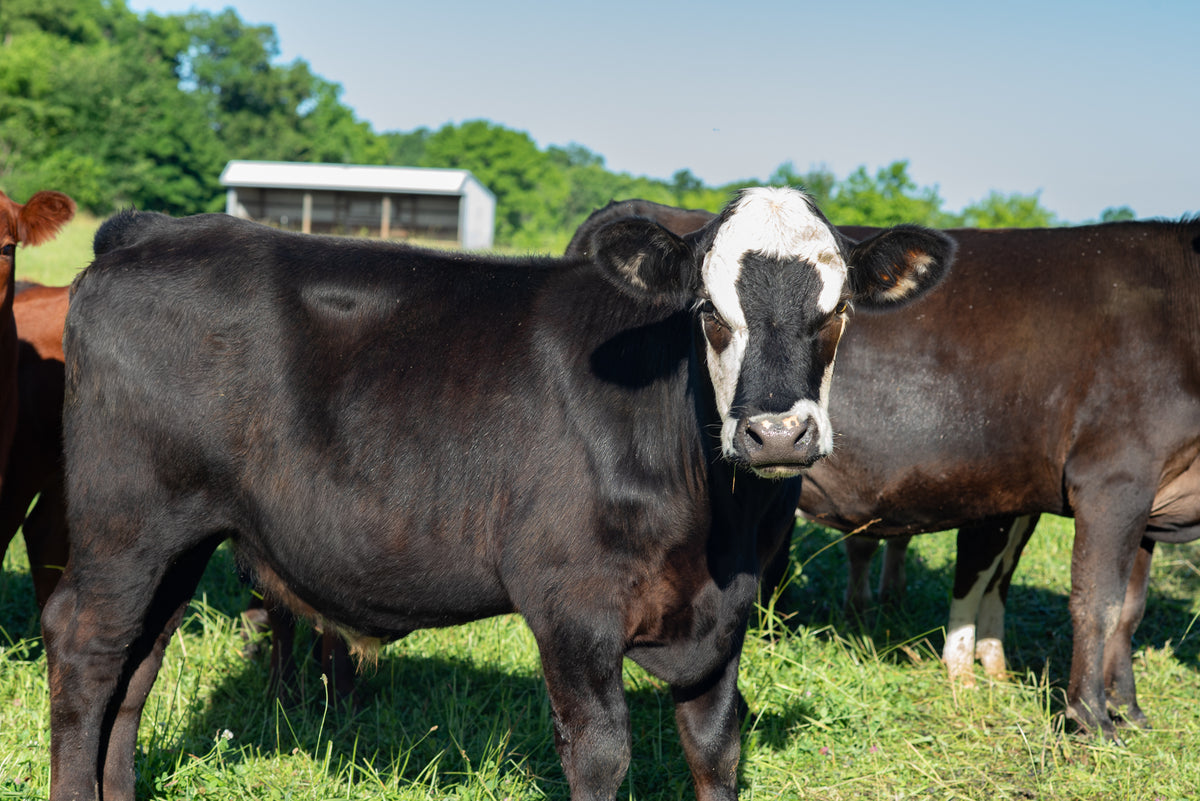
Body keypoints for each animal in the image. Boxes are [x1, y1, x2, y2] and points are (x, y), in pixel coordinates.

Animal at [44, 186, 952, 801]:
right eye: (707, 309)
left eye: (836, 309)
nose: (776, 433)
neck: (714, 524)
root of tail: (157, 228)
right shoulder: (570, 604)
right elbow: (600, 754)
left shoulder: (725, 618)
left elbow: (717, 749)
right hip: (124, 525)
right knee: (86, 651)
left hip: (182, 538)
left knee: (137, 663)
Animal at [568, 201, 1200, 743]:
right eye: (707, 309)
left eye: (840, 308)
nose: (778, 433)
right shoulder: (1111, 480)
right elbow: (1095, 602)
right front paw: (1090, 720)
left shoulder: (1128, 500)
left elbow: (1127, 609)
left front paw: (1128, 709)